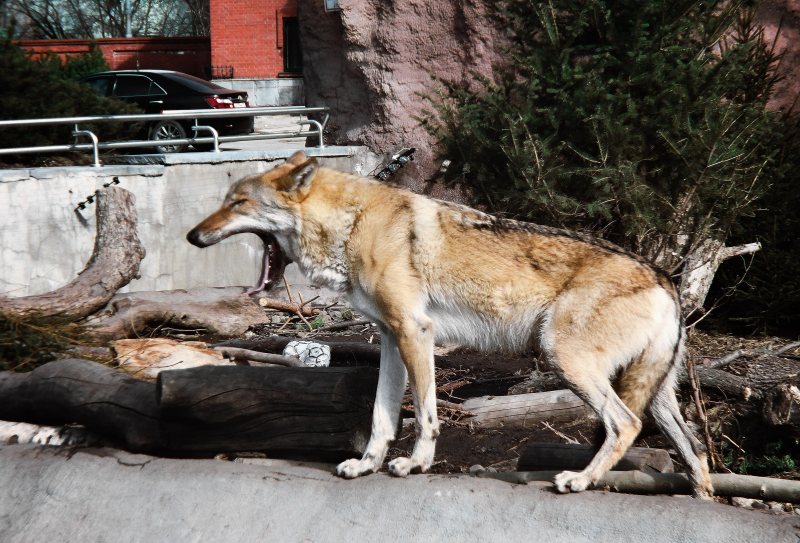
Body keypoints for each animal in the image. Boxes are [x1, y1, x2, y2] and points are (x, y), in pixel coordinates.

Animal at [187, 151, 713, 498]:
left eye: (237, 204)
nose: (192, 236)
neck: (353, 224)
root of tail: (666, 280)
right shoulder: (390, 338)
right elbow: (381, 416)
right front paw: (366, 465)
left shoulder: (415, 333)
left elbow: (424, 415)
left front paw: (415, 464)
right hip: (653, 392)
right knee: (695, 450)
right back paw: (700, 495)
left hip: (567, 361)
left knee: (625, 424)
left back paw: (581, 480)